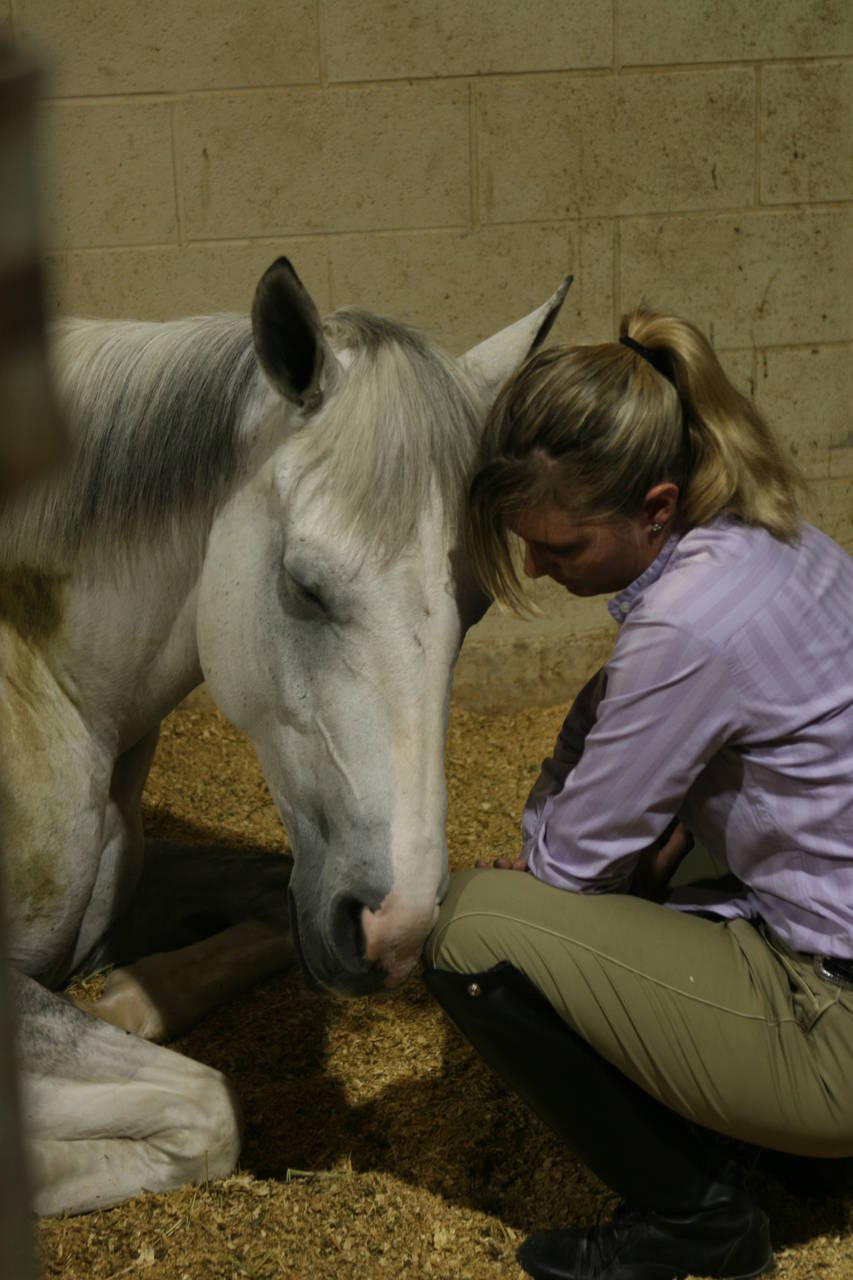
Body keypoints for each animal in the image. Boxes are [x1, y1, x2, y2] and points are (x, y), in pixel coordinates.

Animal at [4, 257, 571, 1208]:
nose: (396, 929)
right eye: (304, 586)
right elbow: (206, 1108)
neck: (44, 678)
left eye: (475, 604)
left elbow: (270, 907)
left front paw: (127, 998)